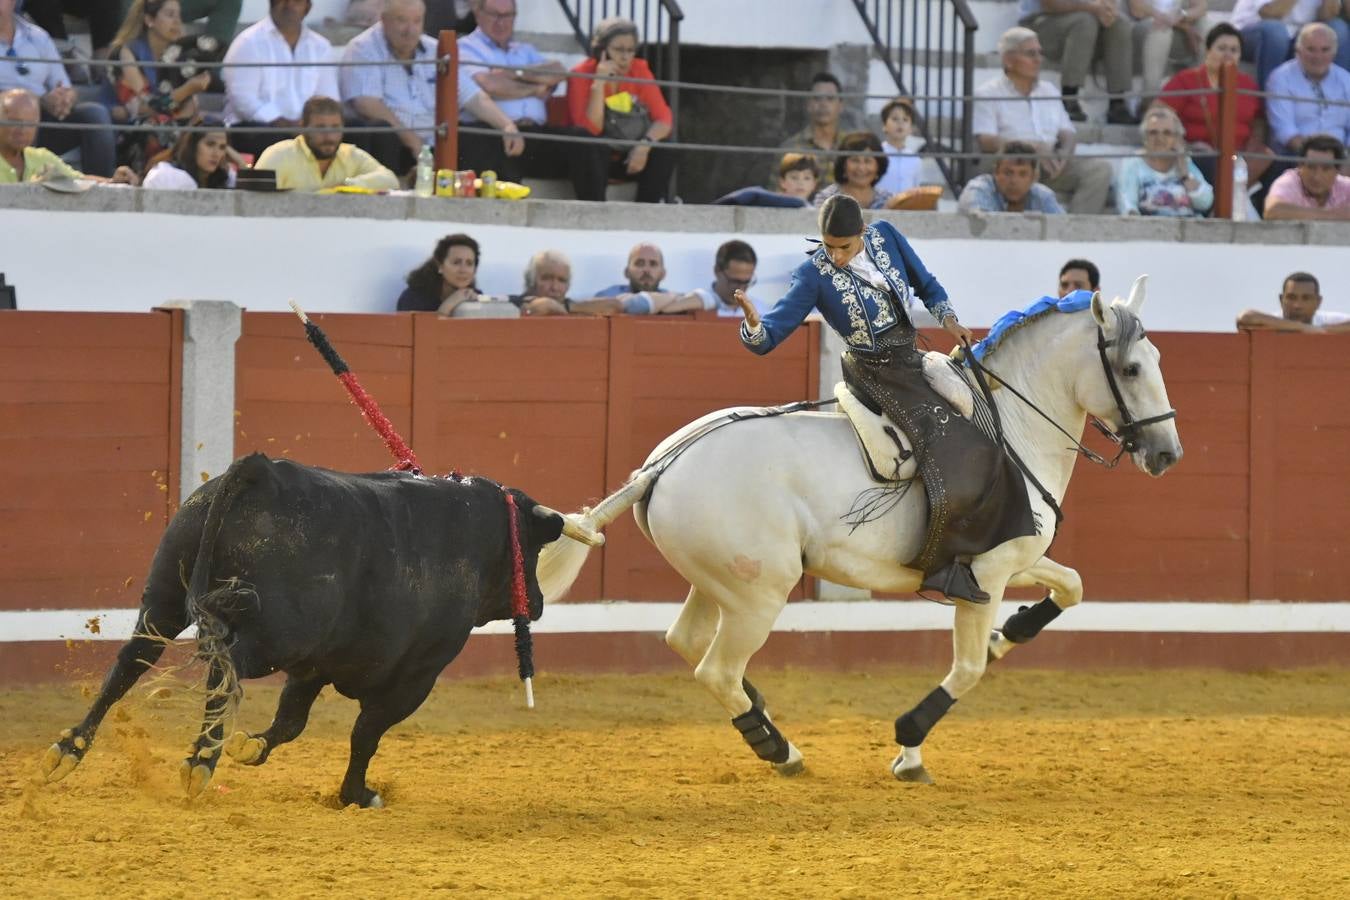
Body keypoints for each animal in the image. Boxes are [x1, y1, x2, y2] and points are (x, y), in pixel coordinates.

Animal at [38, 453, 564, 804]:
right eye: (534, 548)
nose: (538, 603)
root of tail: (260, 472)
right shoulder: (415, 677)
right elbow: (365, 734)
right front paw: (357, 795)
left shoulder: (315, 665)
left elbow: (292, 721)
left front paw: (252, 747)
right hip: (275, 637)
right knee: (223, 667)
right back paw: (201, 759)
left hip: (165, 597)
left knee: (132, 660)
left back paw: (69, 749)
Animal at [537, 277, 1182, 782]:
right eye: (1130, 368)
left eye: (1155, 364)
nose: (1167, 453)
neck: (1012, 426)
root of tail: (660, 466)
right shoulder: (989, 571)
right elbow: (969, 668)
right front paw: (909, 747)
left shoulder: (1015, 556)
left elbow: (1071, 585)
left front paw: (1010, 634)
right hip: (761, 595)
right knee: (716, 667)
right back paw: (781, 749)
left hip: (721, 581)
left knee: (689, 642)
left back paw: (764, 716)